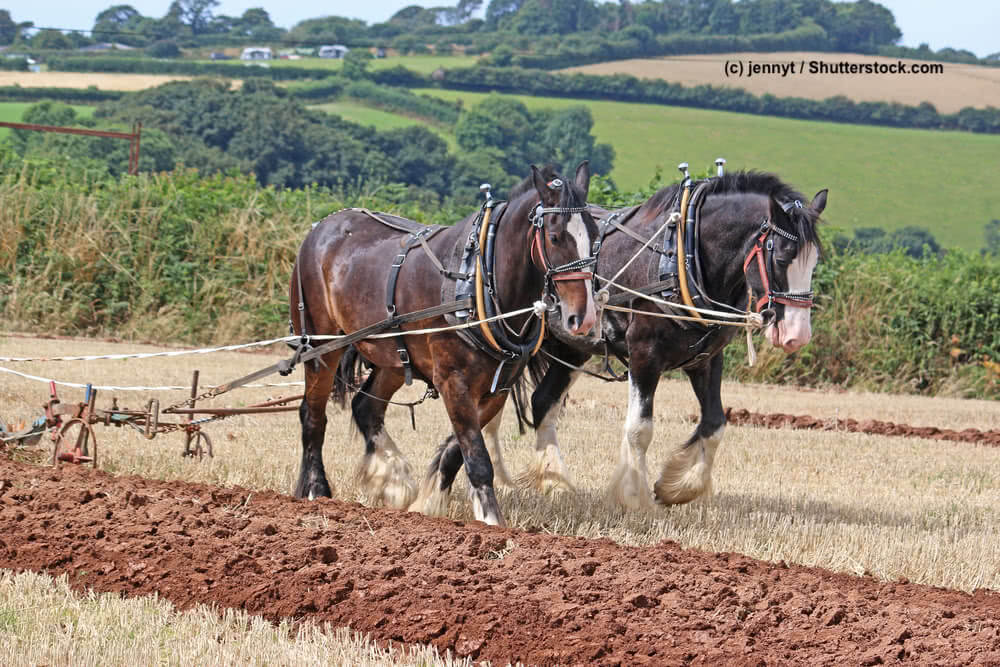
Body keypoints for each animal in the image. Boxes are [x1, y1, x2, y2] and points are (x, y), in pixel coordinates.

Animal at [289, 162, 599, 527]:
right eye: (554, 237)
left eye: (595, 238)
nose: (584, 318)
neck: (478, 278)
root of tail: (321, 228)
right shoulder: (453, 380)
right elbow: (477, 457)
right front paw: (492, 521)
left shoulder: (497, 388)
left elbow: (456, 451)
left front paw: (430, 503)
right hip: (321, 344)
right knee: (313, 414)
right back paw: (316, 491)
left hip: (393, 357)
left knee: (366, 408)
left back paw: (392, 479)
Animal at [510, 170, 827, 509]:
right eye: (780, 259)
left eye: (814, 262)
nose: (797, 335)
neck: (682, 257)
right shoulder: (644, 354)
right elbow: (639, 429)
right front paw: (634, 497)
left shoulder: (706, 359)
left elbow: (714, 424)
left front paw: (676, 487)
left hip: (572, 349)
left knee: (543, 402)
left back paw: (553, 480)